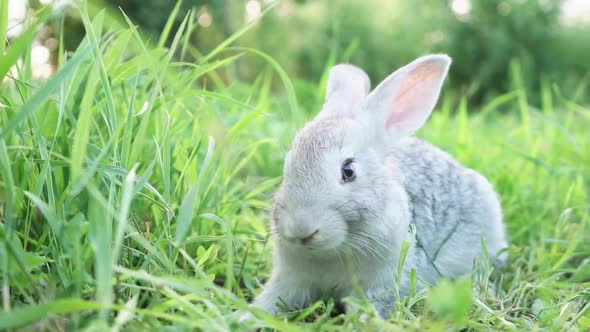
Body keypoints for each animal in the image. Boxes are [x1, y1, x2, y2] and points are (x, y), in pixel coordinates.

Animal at [250, 54, 508, 320]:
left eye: (349, 171)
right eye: (287, 167)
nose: (301, 230)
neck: (336, 248)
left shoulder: (378, 285)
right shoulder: (291, 279)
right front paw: (245, 317)